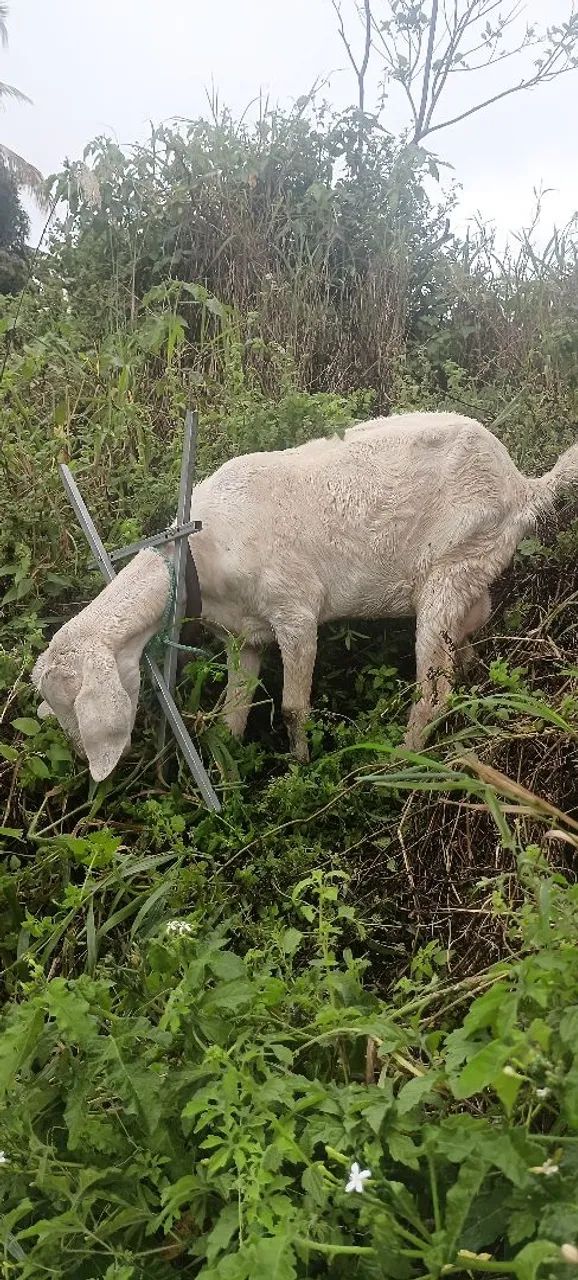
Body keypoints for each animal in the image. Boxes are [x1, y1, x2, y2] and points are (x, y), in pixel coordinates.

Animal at [32, 411, 578, 780]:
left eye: (70, 703)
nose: (79, 758)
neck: (200, 549)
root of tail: (523, 487)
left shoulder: (294, 611)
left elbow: (294, 707)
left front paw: (299, 768)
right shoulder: (243, 636)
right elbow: (232, 715)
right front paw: (229, 778)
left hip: (453, 567)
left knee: (433, 690)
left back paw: (400, 765)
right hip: (472, 572)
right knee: (465, 642)